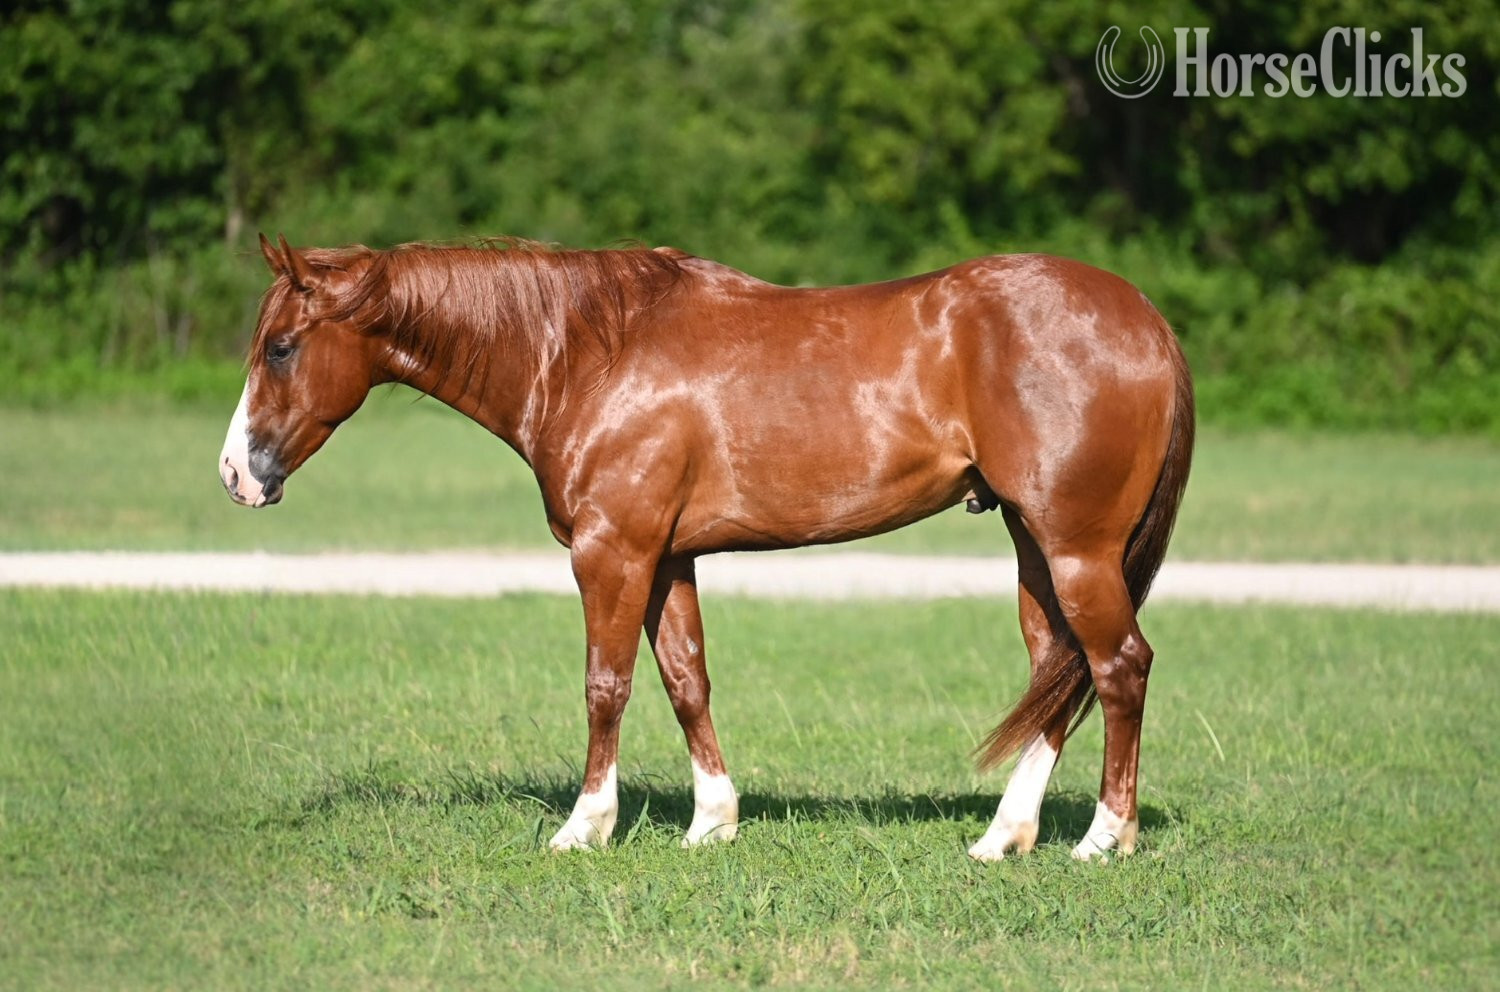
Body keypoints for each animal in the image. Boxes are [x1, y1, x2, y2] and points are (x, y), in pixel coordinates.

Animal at [220, 234, 1194, 860]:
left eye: (282, 347)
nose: (237, 473)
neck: (586, 354)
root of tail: (1144, 318)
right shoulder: (667, 559)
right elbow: (686, 680)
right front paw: (712, 822)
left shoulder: (611, 553)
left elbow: (606, 686)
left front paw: (585, 827)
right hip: (1035, 546)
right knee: (1058, 673)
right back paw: (1003, 837)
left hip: (1076, 549)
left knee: (1119, 667)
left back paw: (1104, 838)